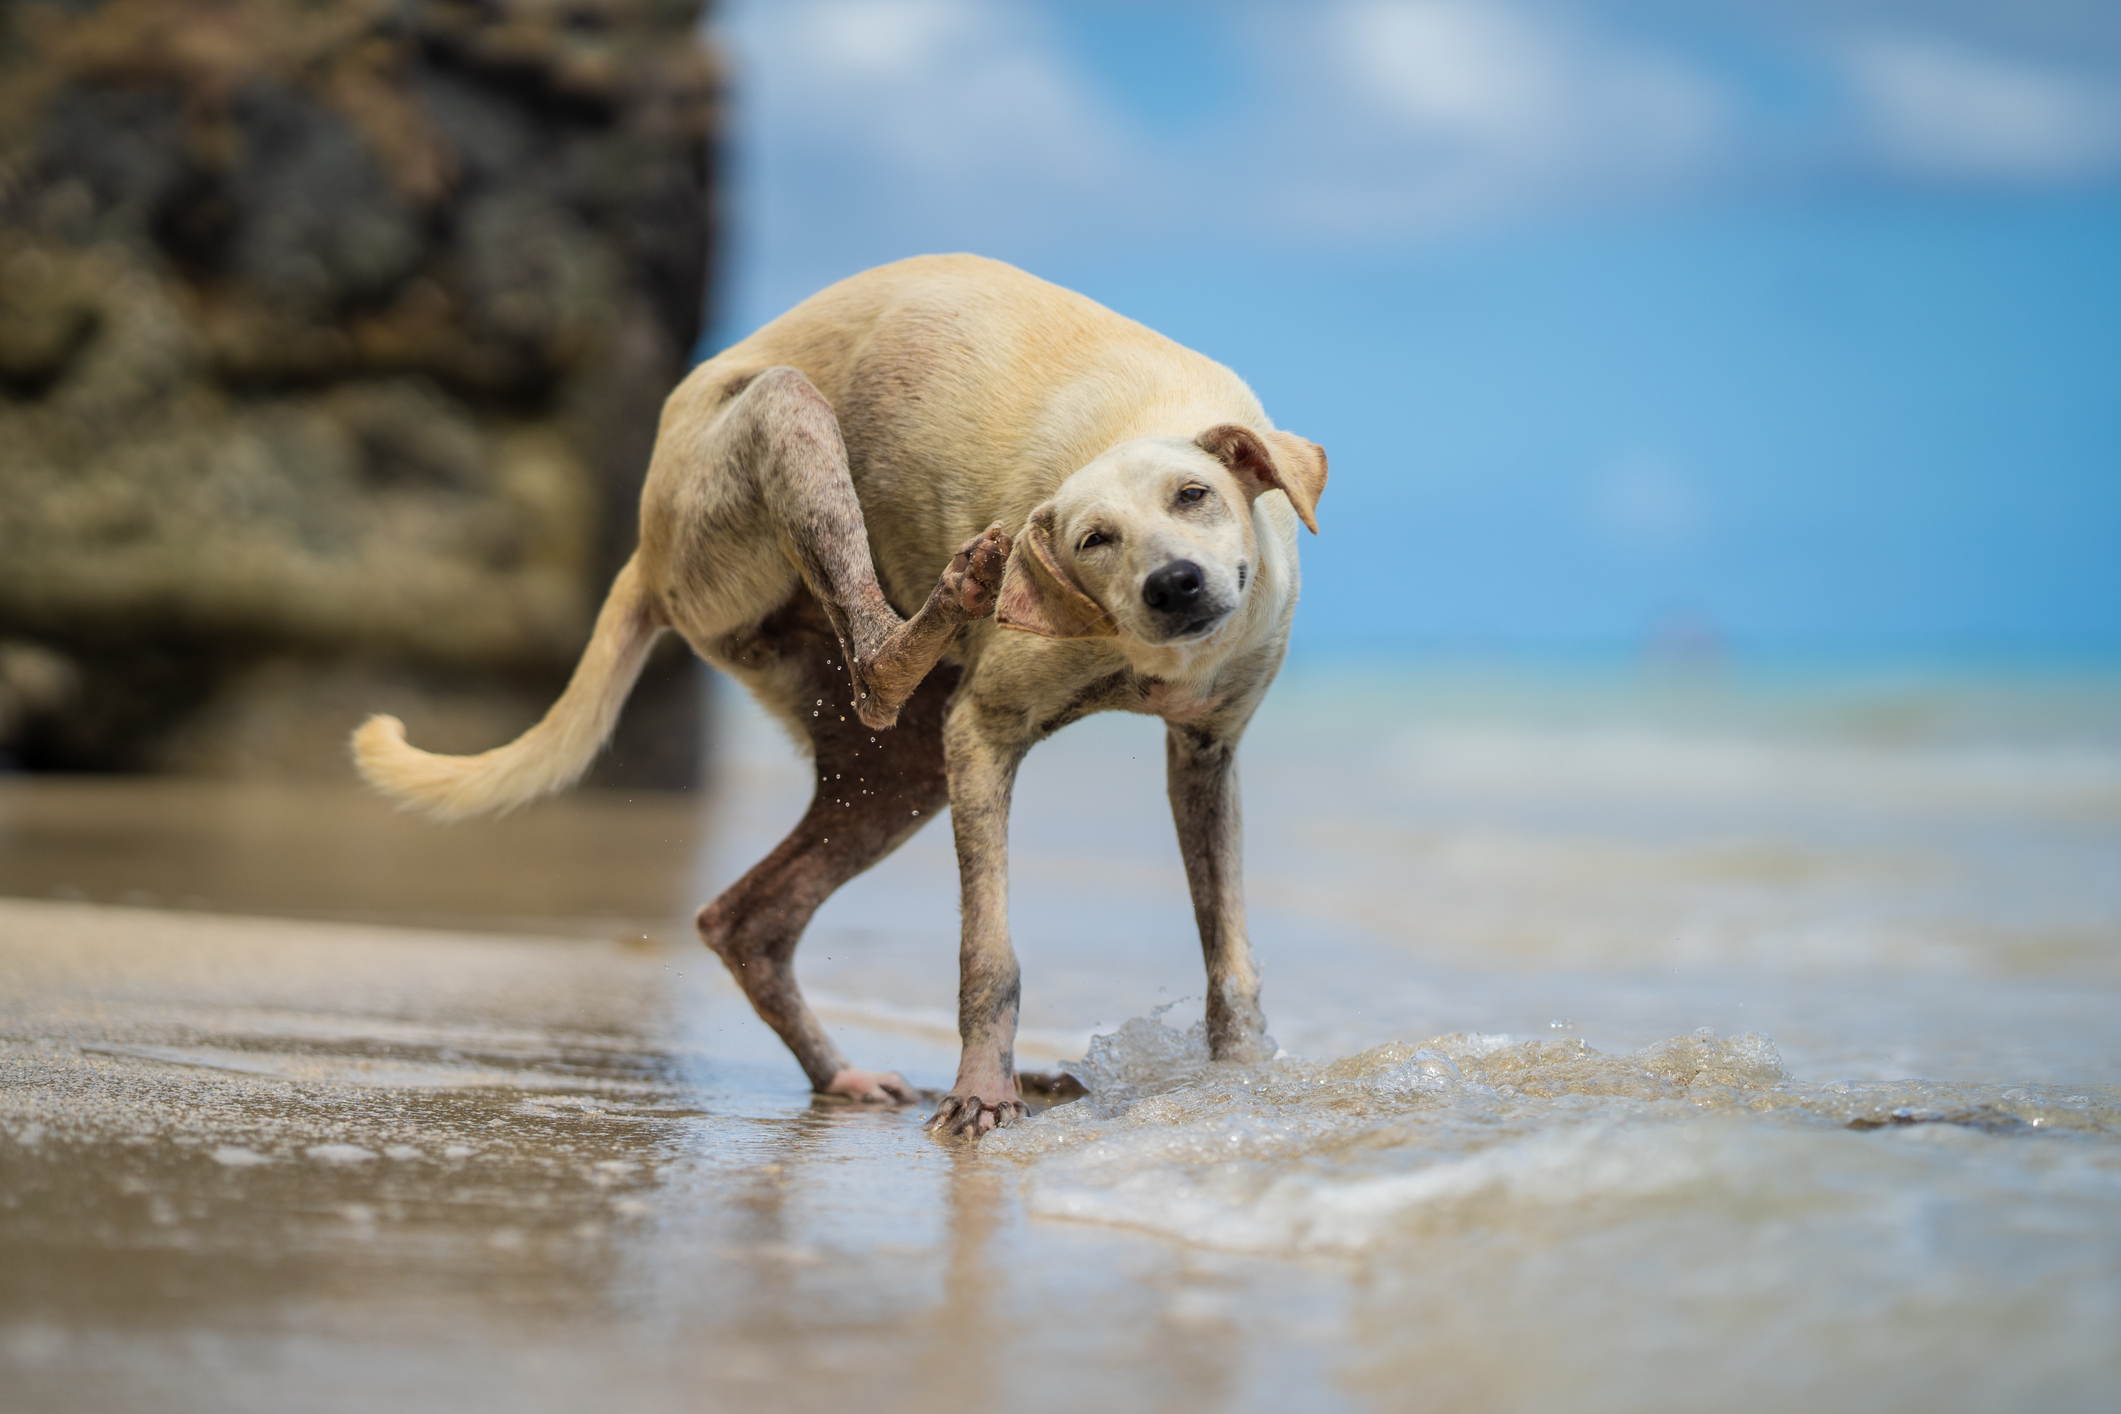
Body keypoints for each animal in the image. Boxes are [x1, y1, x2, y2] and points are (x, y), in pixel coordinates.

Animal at [358, 254, 1331, 1136]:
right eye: (1094, 539)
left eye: (1194, 494)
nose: (1174, 586)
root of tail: (643, 542)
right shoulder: (983, 734)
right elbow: (989, 952)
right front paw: (984, 1092)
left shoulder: (1206, 753)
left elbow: (1228, 953)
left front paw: (1238, 1084)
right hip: (772, 448)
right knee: (869, 671)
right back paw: (939, 609)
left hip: (891, 768)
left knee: (747, 917)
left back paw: (838, 1074)